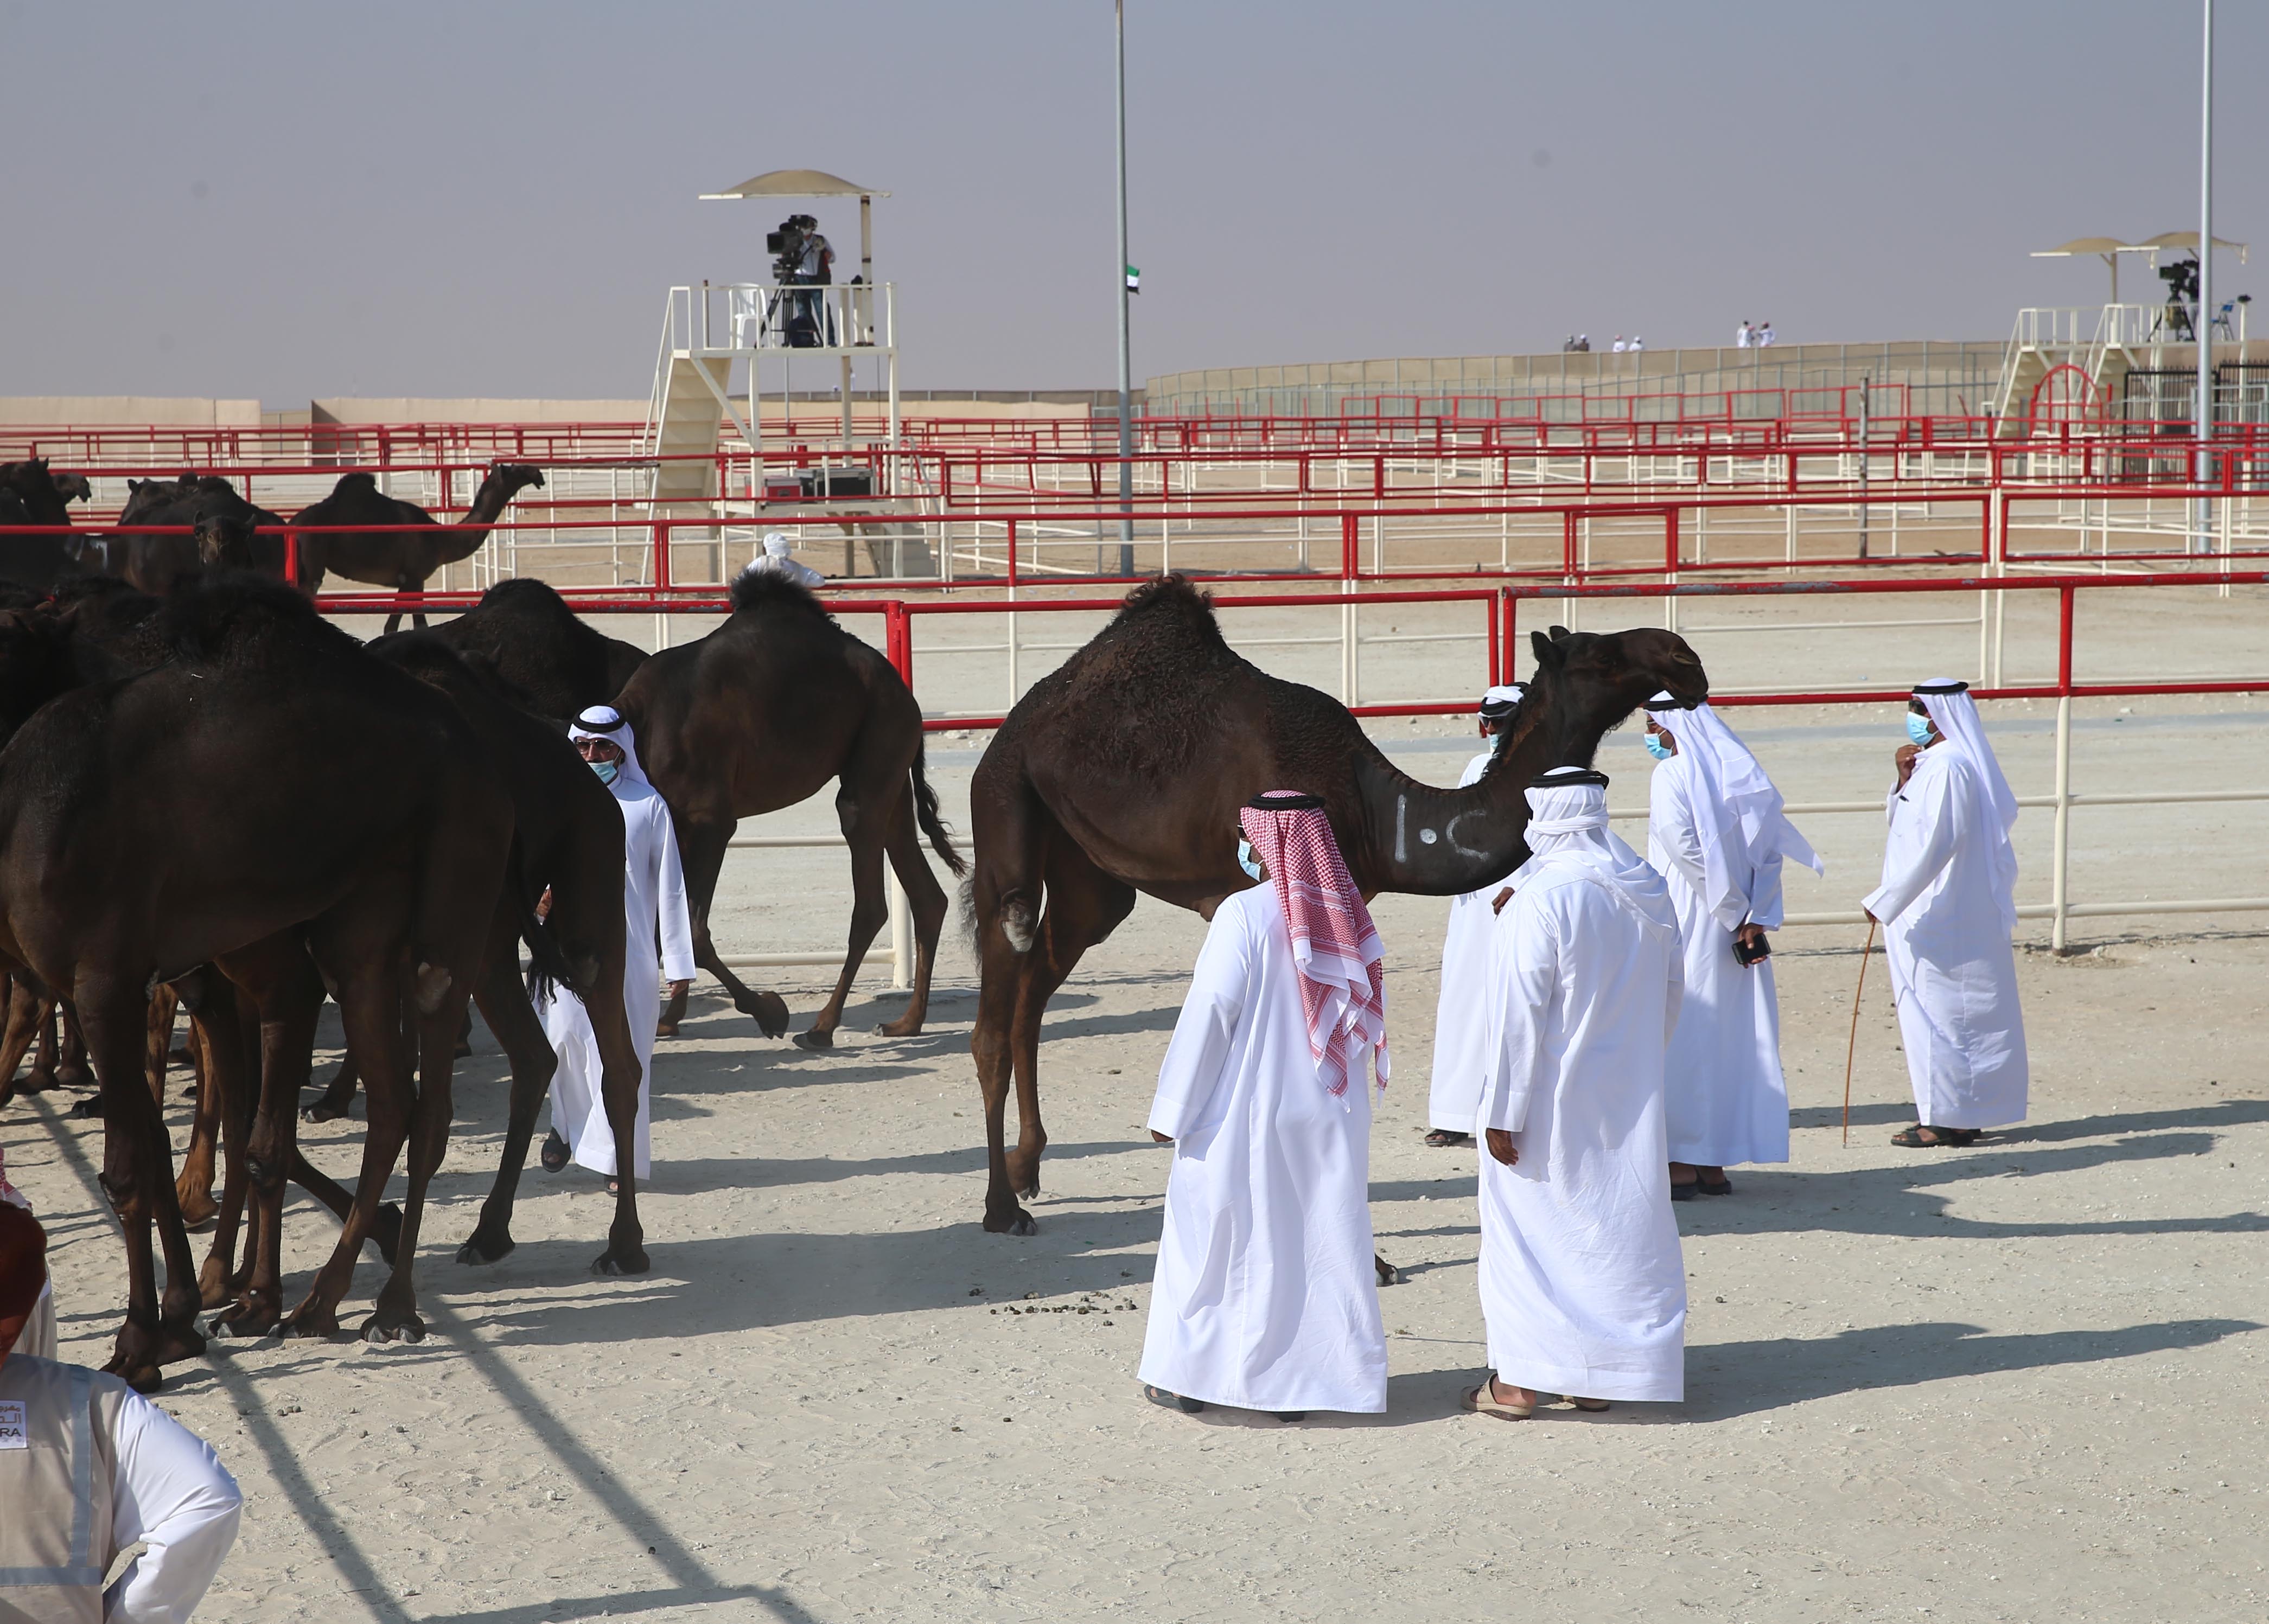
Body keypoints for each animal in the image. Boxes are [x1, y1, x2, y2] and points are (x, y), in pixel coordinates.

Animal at [0, 571, 515, 1379]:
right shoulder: (151, 975)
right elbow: (161, 1146)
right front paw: (180, 1321)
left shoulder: (102, 978)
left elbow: (129, 1169)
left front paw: (138, 1343)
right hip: (358, 930)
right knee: (392, 1099)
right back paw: (322, 1303)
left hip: (457, 888)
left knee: (429, 1093)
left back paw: (390, 1308)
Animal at [295, 463, 546, 635]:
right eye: (516, 469)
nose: (538, 474)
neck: (439, 539)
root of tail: (293, 523)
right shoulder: (414, 577)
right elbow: (412, 625)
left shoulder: (411, 581)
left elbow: (397, 626)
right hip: (312, 567)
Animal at [613, 571, 966, 1047]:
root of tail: (905, 693)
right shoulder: (673, 823)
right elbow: (667, 921)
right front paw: (668, 1020)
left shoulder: (712, 821)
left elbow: (694, 929)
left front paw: (770, 1012)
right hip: (893, 776)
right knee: (926, 893)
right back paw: (906, 1023)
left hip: (879, 743)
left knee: (869, 895)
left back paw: (821, 1028)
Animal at [948, 580, 1706, 1233]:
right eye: (1601, 655)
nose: (1686, 659)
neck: (1375, 811)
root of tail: (1020, 723)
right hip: (1004, 803)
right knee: (999, 986)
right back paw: (1000, 1208)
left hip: (1091, 876)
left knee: (1034, 989)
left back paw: (1027, 1170)